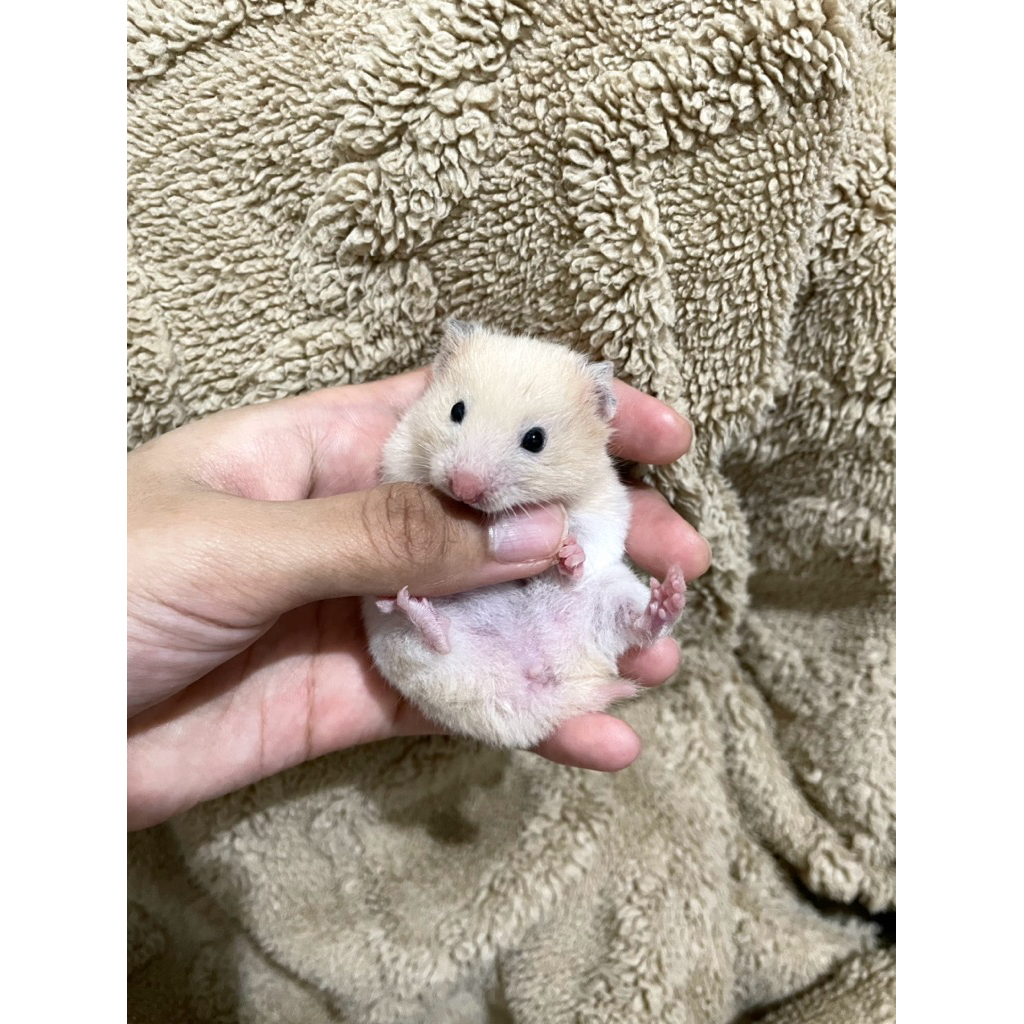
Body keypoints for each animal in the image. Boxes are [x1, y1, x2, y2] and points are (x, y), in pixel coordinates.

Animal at [360, 321, 685, 749]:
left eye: (535, 439)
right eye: (456, 410)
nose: (464, 487)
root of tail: (535, 686)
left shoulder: (605, 500)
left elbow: (594, 535)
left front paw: (569, 556)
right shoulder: (400, 454)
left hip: (611, 596)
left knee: (641, 627)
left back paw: (669, 597)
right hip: (399, 647)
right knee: (435, 641)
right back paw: (410, 608)